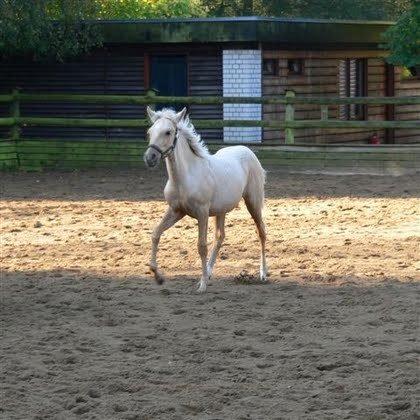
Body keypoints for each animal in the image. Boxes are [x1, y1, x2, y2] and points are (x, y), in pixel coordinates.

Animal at [144, 107, 266, 292]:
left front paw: (202, 285)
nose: (150, 157)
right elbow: (155, 234)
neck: (185, 178)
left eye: (168, 132)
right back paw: (208, 273)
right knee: (220, 237)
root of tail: (247, 150)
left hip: (253, 202)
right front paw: (158, 277)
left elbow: (201, 246)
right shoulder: (176, 211)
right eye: (150, 132)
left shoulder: (202, 213)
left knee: (261, 232)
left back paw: (263, 273)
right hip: (221, 210)